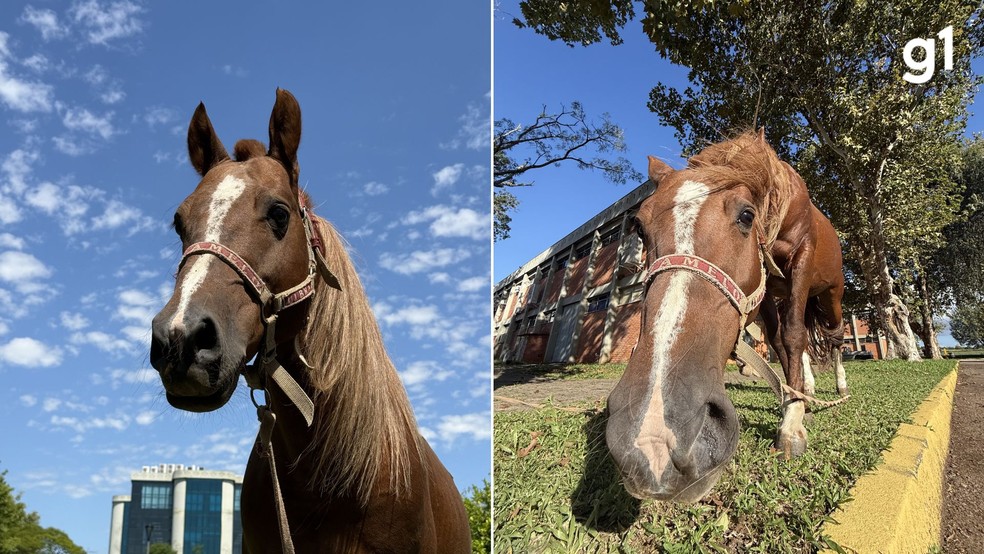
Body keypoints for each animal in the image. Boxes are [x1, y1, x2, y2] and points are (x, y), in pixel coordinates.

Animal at [605, 130, 848, 502]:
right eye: (639, 226)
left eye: (747, 216)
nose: (653, 439)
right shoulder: (763, 290)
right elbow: (781, 340)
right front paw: (793, 400)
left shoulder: (802, 256)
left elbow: (793, 335)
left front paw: (791, 424)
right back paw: (806, 387)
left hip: (830, 293)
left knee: (834, 335)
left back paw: (839, 386)